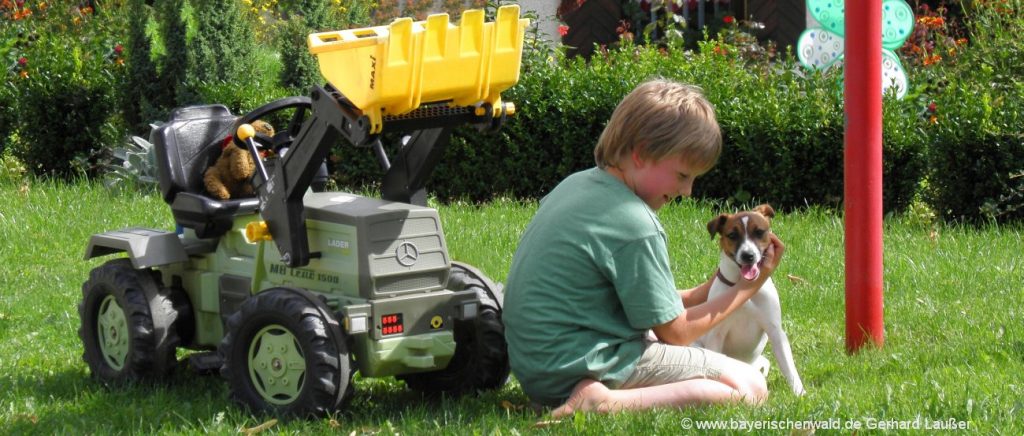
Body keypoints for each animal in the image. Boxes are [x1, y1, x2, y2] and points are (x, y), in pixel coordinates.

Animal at [696, 204, 806, 395]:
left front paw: (799, 393)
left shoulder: (775, 331)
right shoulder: (717, 334)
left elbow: (789, 366)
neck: (743, 288)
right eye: (732, 235)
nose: (748, 255)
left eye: (759, 232)